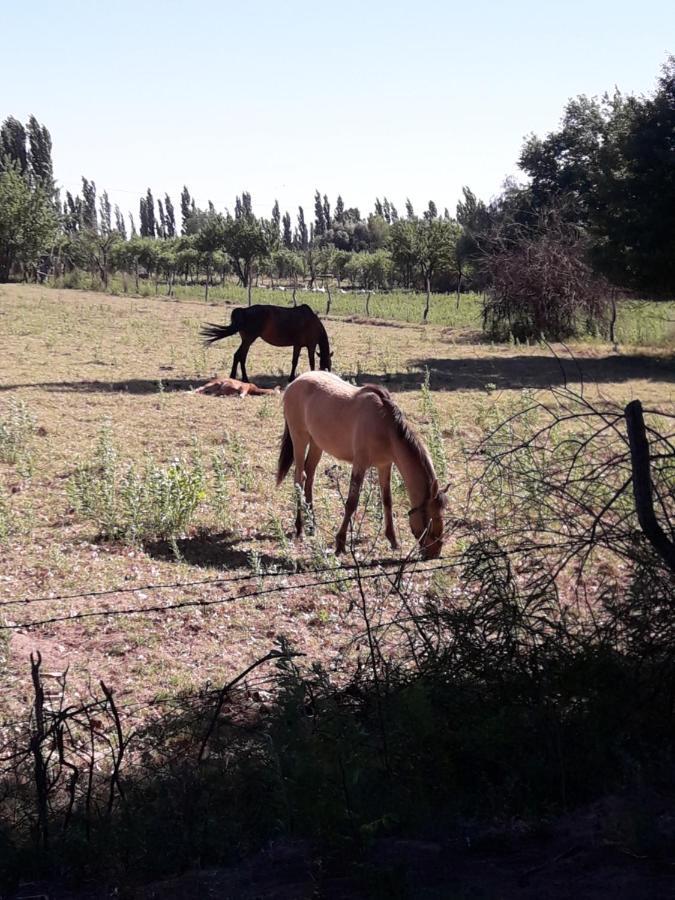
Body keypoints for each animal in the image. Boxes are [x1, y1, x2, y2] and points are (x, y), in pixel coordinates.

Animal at [201, 306, 332, 384]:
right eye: (329, 364)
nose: (330, 374)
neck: (313, 323)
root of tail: (243, 311)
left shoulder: (297, 345)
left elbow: (294, 362)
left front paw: (291, 378)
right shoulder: (311, 346)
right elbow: (311, 362)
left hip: (246, 340)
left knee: (238, 356)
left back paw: (234, 377)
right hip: (248, 340)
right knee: (241, 356)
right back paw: (244, 379)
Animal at [274, 370, 448, 556]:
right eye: (430, 518)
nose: (435, 552)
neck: (385, 426)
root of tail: (294, 383)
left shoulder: (384, 465)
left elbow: (387, 500)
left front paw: (393, 540)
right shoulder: (360, 464)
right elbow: (352, 502)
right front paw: (340, 543)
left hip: (316, 443)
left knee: (310, 476)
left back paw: (312, 525)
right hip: (299, 439)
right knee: (299, 479)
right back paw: (299, 528)